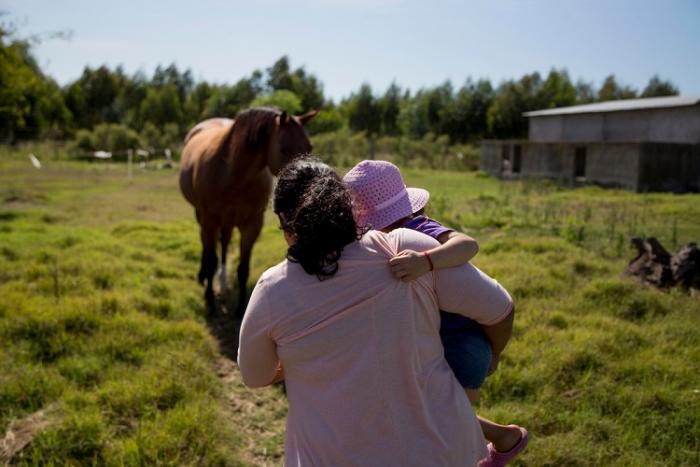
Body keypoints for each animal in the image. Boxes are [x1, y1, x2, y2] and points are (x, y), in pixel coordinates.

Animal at [178, 108, 318, 314]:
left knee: (224, 242)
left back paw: (223, 281)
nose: (309, 186)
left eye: (309, 147)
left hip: (227, 222)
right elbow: (211, 259)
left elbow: (243, 268)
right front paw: (210, 301)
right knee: (205, 243)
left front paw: (240, 308)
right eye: (283, 149)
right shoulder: (210, 220)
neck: (232, 174)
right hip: (202, 216)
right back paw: (203, 276)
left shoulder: (252, 224)